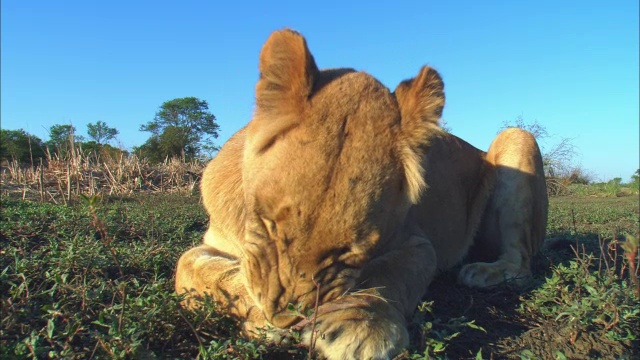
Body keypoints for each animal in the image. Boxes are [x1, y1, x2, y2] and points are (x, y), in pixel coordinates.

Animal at [174, 28, 544, 360]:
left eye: (350, 251)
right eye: (267, 225)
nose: (285, 319)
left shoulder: (418, 243)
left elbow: (389, 273)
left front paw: (360, 324)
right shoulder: (215, 241)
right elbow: (192, 269)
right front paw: (256, 312)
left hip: (517, 136)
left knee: (522, 264)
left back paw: (480, 272)